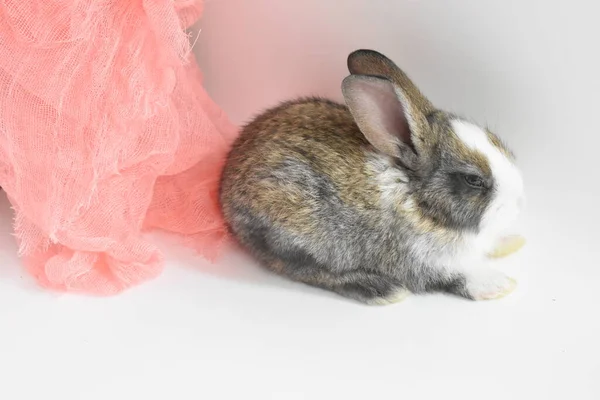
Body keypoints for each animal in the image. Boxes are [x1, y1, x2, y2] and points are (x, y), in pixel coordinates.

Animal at [218, 50, 524, 306]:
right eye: (473, 180)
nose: (519, 202)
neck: (417, 198)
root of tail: (224, 187)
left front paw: (512, 243)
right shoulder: (418, 260)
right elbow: (456, 275)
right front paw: (499, 285)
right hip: (295, 231)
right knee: (303, 269)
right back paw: (380, 290)